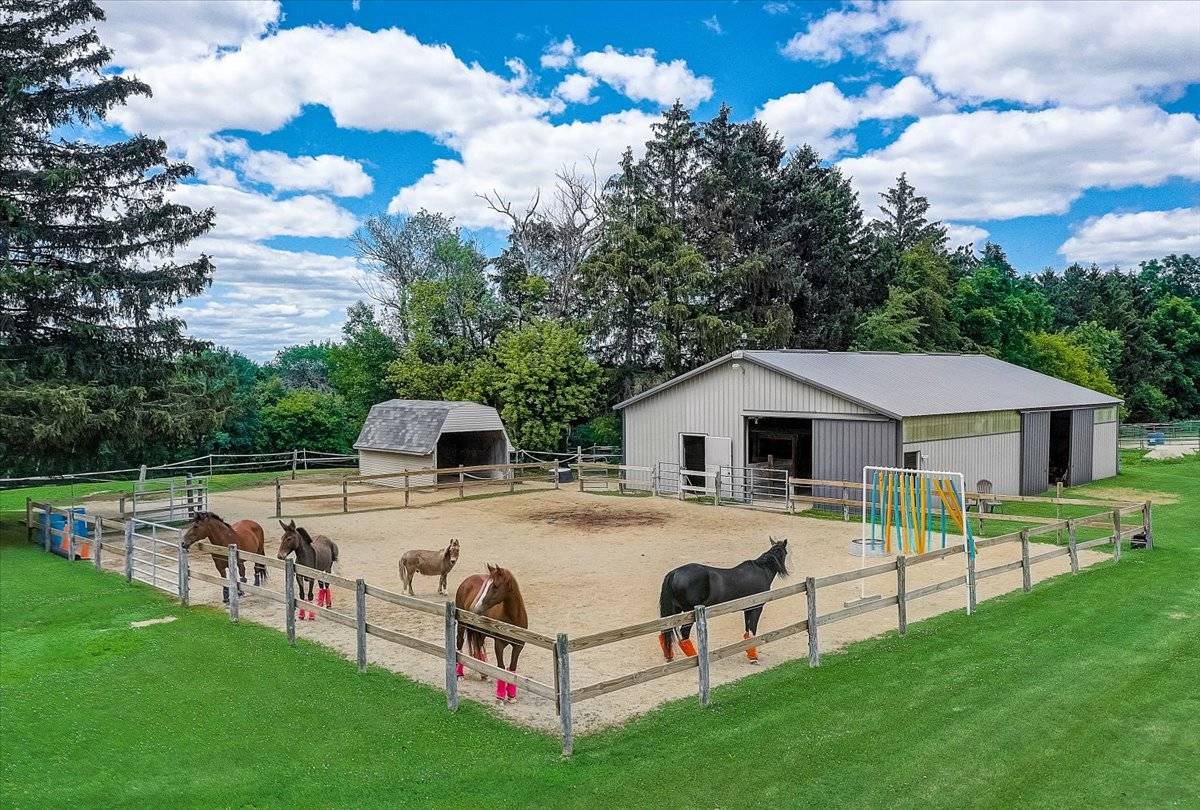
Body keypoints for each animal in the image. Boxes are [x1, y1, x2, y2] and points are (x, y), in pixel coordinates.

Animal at [454, 565, 528, 703]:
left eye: (495, 586)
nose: (476, 608)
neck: (511, 620)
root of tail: (467, 581)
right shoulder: (498, 644)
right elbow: (501, 667)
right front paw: (500, 697)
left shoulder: (518, 646)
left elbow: (512, 667)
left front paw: (511, 696)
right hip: (462, 625)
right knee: (459, 645)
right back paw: (459, 674)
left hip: (480, 632)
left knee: (479, 648)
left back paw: (484, 674)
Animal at [658, 537, 788, 664]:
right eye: (785, 553)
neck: (761, 570)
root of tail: (674, 573)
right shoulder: (756, 607)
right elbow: (752, 631)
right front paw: (754, 658)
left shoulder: (747, 609)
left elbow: (747, 632)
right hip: (688, 613)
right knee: (684, 634)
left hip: (674, 612)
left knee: (665, 632)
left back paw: (669, 657)